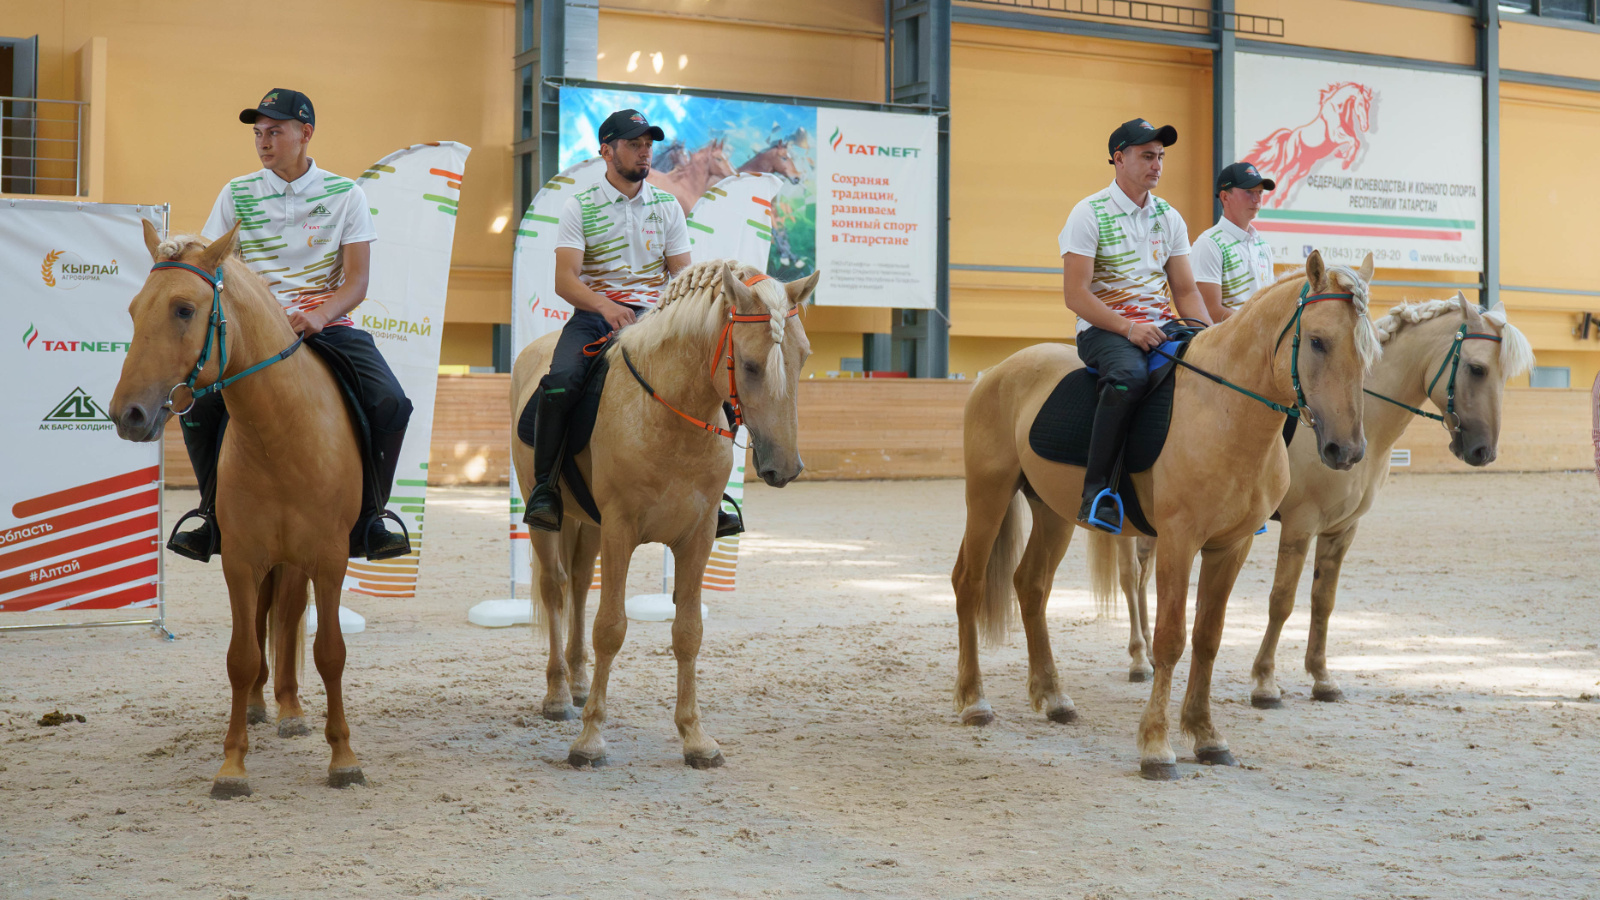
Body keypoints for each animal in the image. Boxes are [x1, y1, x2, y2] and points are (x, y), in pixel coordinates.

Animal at [108, 220, 364, 794]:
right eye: (133, 309)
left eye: (184, 309)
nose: (126, 415)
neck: (282, 433)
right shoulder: (242, 560)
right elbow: (241, 656)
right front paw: (232, 766)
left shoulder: (329, 559)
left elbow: (331, 652)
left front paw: (343, 758)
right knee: (269, 624)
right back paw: (260, 707)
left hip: (298, 560)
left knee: (289, 619)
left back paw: (291, 711)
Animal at [512, 257, 812, 762]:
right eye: (750, 365)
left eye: (804, 357)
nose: (785, 468)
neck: (670, 414)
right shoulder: (620, 529)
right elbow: (611, 627)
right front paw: (590, 739)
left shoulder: (699, 535)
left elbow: (688, 632)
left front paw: (696, 737)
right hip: (548, 518)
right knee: (555, 587)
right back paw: (558, 695)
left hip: (588, 524)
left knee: (579, 584)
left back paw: (578, 682)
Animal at [947, 248, 1376, 775]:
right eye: (1317, 341)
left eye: (1369, 351)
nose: (1345, 450)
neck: (1225, 409)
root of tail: (998, 371)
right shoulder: (1179, 540)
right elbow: (1170, 639)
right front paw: (1156, 745)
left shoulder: (1230, 546)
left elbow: (1208, 637)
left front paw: (1207, 736)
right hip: (988, 494)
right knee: (968, 582)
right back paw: (974, 701)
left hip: (1053, 511)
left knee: (1031, 586)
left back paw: (1053, 697)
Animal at [1100, 294, 1536, 679]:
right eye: (1477, 369)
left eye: (1504, 375)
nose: (1483, 451)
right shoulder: (1300, 524)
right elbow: (1282, 600)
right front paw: (1265, 680)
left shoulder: (1343, 528)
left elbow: (1323, 601)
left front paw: (1321, 676)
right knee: (1129, 576)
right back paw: (1138, 659)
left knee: (1142, 575)